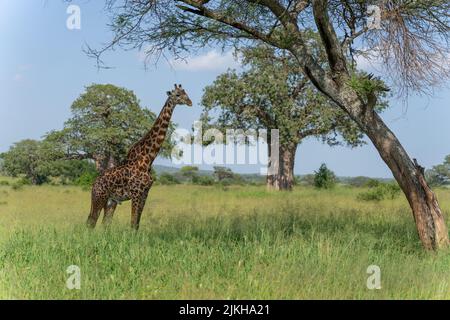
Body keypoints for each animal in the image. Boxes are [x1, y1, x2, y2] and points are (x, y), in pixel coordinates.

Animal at [85, 84, 192, 230]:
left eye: (185, 93)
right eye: (177, 95)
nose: (190, 102)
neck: (148, 158)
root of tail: (94, 184)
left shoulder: (145, 193)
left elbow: (136, 224)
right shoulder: (136, 193)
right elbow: (132, 223)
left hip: (111, 201)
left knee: (103, 223)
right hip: (99, 197)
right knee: (91, 222)